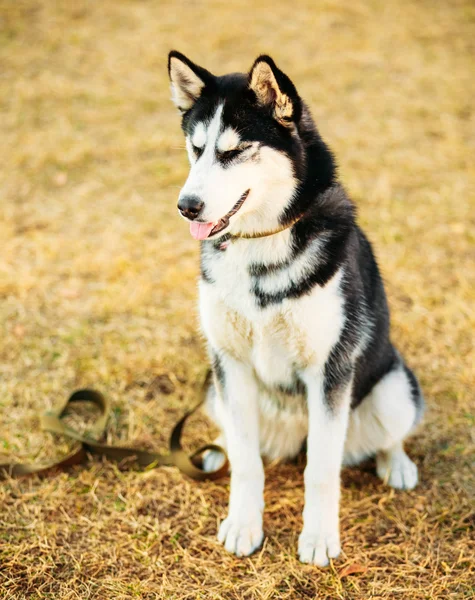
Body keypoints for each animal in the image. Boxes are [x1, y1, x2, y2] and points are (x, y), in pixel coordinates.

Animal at [166, 52, 424, 568]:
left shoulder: (329, 370)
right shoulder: (230, 362)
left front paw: (320, 538)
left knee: (389, 435)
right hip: (215, 390)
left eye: (235, 151)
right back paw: (216, 450)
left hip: (393, 389)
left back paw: (398, 463)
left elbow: (321, 471)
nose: (187, 206)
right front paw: (243, 525)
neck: (261, 246)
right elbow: (247, 464)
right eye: (196, 148)